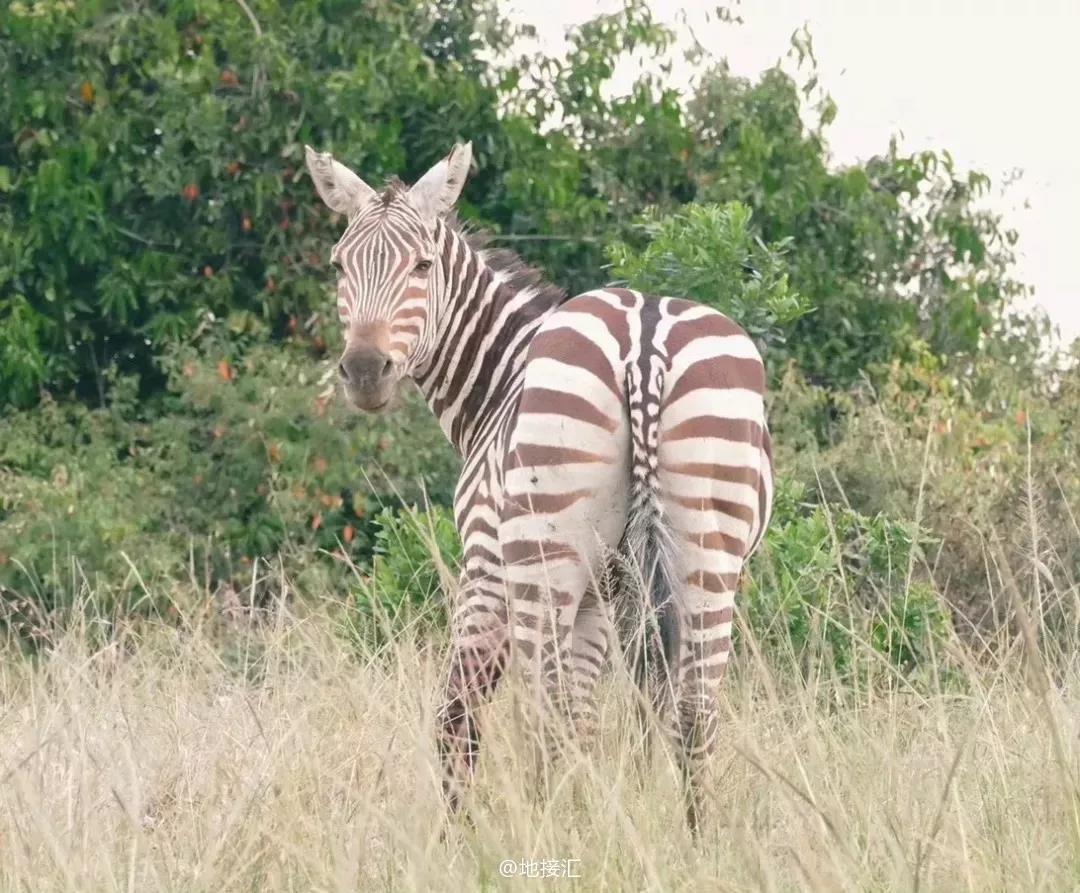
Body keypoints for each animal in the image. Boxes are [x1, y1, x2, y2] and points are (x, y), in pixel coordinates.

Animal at [308, 141, 773, 829]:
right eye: (341, 266)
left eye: (422, 266)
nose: (365, 371)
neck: (501, 379)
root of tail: (644, 339)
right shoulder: (605, 594)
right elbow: (587, 720)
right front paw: (584, 817)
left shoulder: (485, 564)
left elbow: (459, 716)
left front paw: (462, 837)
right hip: (708, 552)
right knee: (694, 710)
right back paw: (696, 840)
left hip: (544, 557)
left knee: (545, 713)